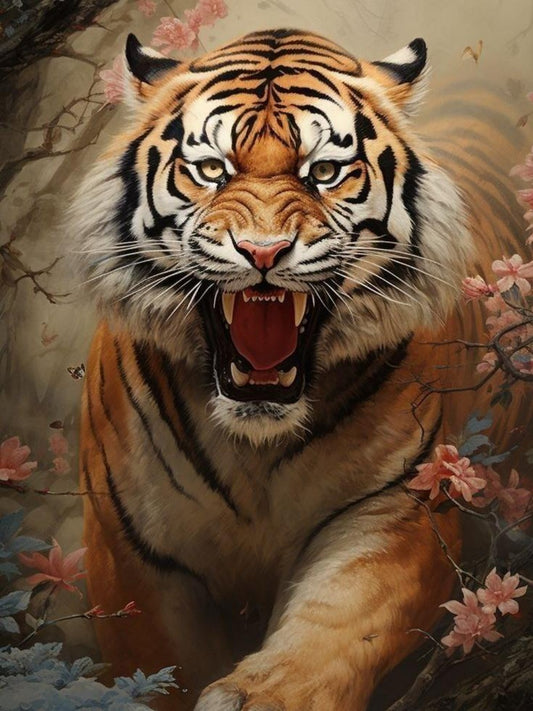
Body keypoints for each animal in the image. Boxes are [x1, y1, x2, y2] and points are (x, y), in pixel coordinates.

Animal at [72, 28, 530, 711]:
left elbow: (332, 630)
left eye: (325, 172)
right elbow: (157, 672)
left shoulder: (392, 513)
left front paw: (258, 695)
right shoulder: (133, 558)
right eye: (212, 169)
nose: (262, 252)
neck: (251, 443)